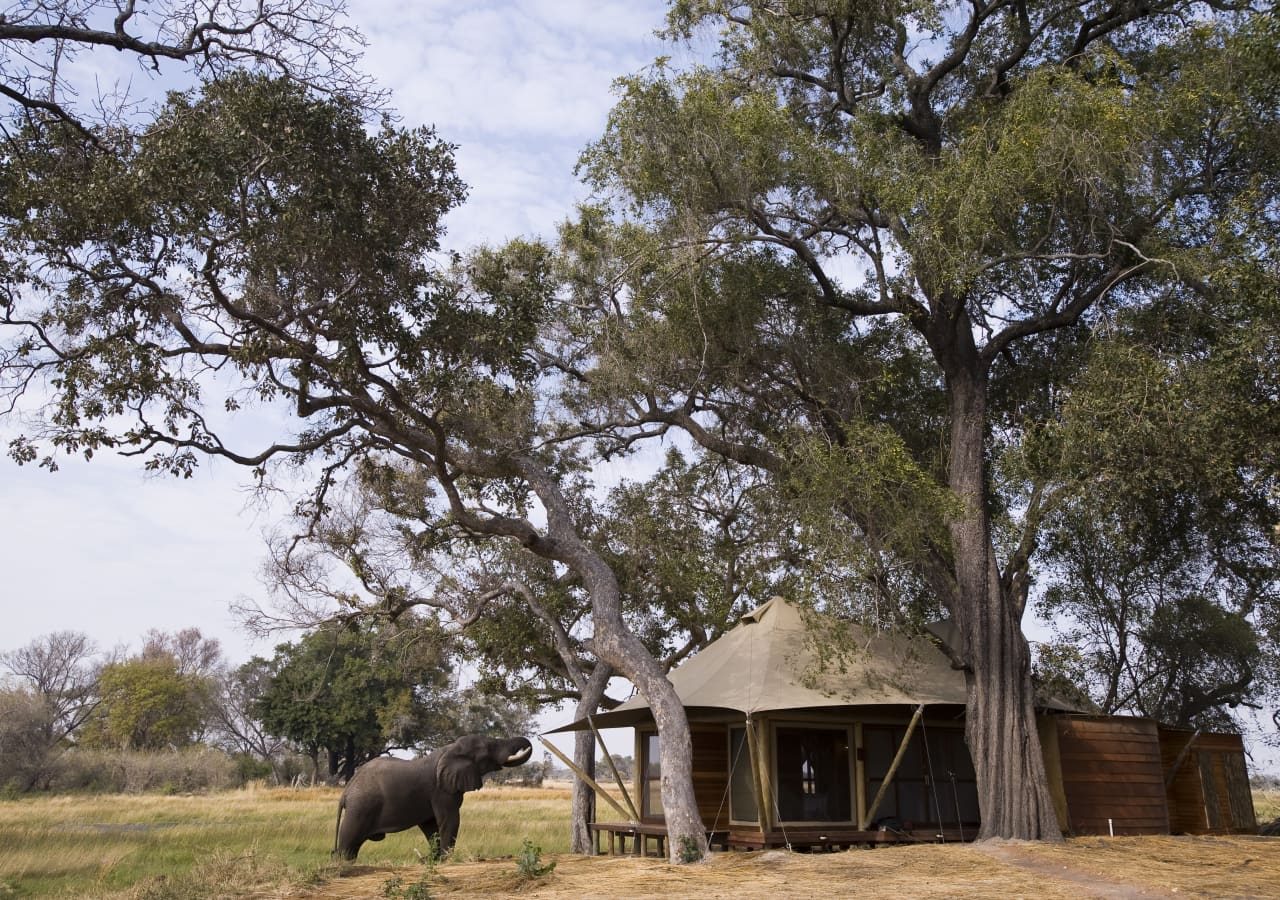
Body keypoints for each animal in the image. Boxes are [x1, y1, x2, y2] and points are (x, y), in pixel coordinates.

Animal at [332, 732, 532, 860]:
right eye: (490, 747)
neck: (450, 748)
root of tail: (346, 790)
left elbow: (431, 826)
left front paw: (433, 859)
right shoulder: (441, 791)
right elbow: (449, 820)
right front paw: (446, 859)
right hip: (361, 808)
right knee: (349, 841)